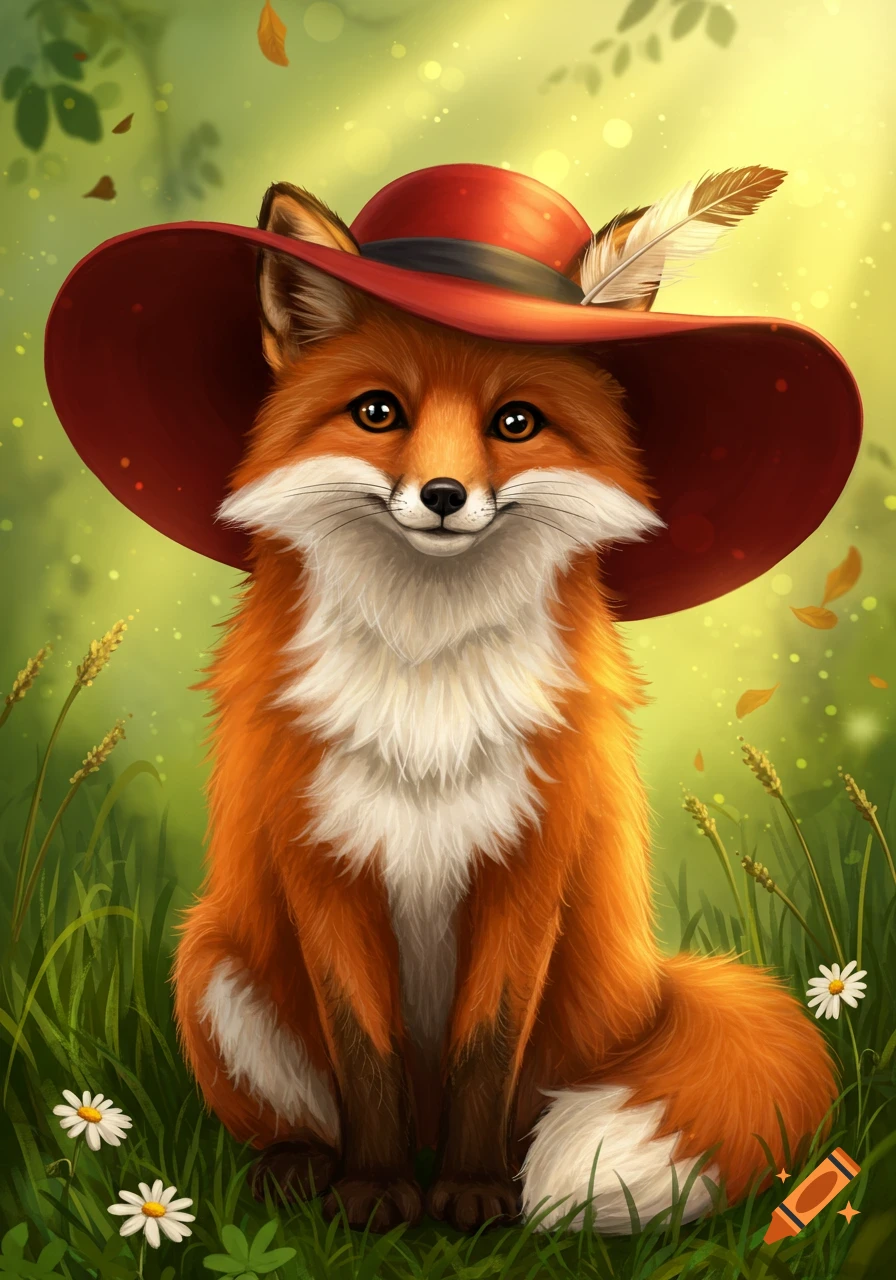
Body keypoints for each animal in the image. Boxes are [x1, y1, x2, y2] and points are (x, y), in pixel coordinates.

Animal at [172, 178, 838, 1235]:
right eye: (378, 412)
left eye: (515, 423)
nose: (443, 495)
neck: (426, 680)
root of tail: (656, 984)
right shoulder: (323, 863)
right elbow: (364, 1050)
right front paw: (375, 1190)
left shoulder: (528, 865)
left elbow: (486, 1047)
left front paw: (475, 1194)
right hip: (212, 961)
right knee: (306, 1111)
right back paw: (303, 1167)